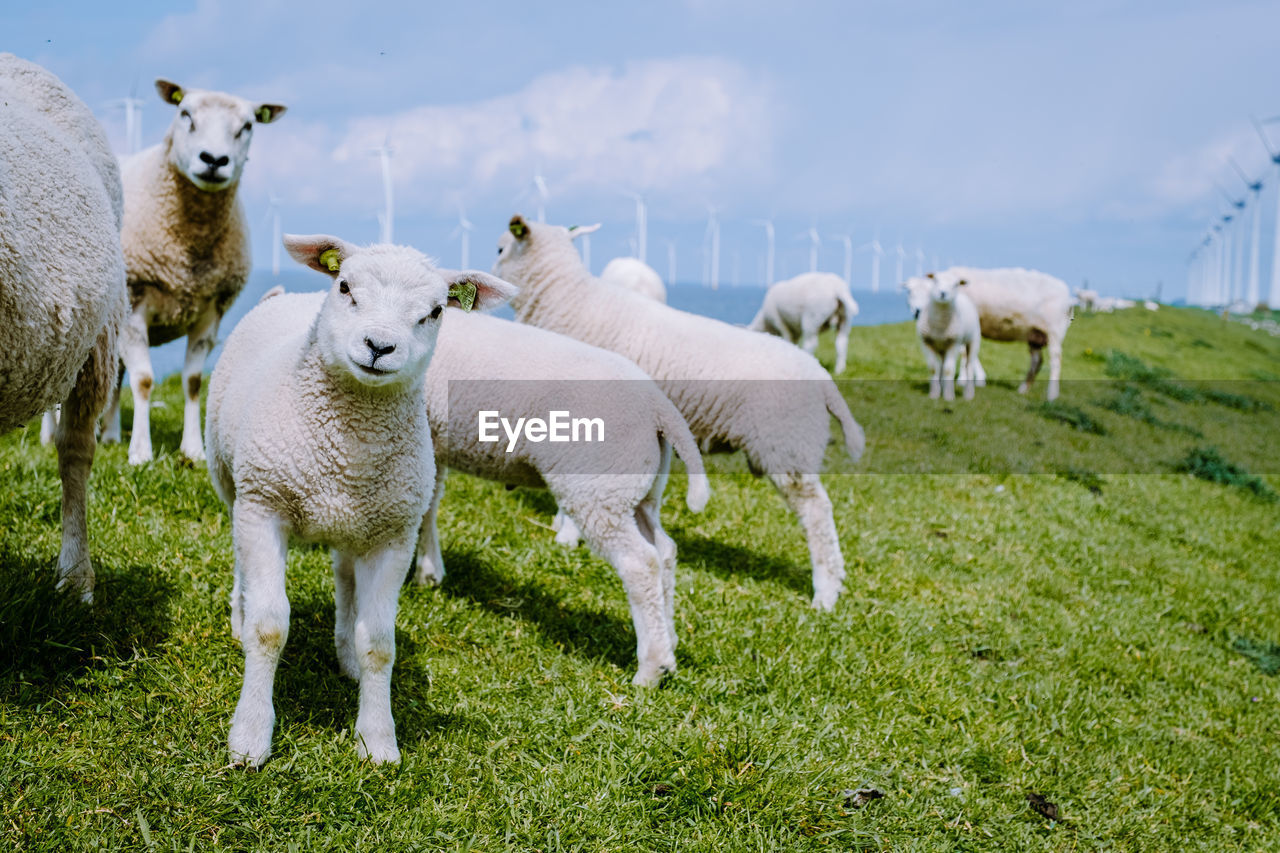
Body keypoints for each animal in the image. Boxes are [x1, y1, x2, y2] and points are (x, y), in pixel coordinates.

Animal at [97, 78, 288, 466]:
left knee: (115, 377)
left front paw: (194, 449)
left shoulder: (212, 309)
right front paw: (141, 452)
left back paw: (109, 434)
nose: (214, 160)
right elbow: (144, 380)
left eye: (248, 126)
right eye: (185, 114)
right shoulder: (135, 300)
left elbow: (193, 381)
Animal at [204, 230, 514, 763]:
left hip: (356, 521)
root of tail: (288, 295)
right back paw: (239, 618)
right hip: (234, 483)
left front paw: (378, 739)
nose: (379, 346)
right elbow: (270, 627)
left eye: (436, 311)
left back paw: (344, 648)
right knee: (242, 560)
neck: (349, 448)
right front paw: (250, 736)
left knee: (345, 577)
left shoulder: (394, 535)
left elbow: (380, 644)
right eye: (346, 286)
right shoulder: (264, 505)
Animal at [414, 308, 711, 681]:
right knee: (665, 551)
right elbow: (429, 503)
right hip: (636, 491)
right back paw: (668, 644)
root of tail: (659, 407)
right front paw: (428, 571)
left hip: (597, 489)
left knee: (640, 564)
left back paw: (651, 668)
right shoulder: (432, 438)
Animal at [494, 216, 865, 607]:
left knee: (818, 514)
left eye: (500, 248)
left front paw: (566, 535)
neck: (568, 300)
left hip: (788, 447)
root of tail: (820, 376)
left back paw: (825, 593)